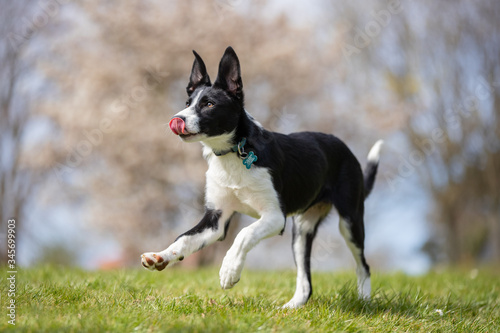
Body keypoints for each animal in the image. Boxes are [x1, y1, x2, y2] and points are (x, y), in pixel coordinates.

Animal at [141, 45, 382, 308]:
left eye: (209, 104)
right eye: (188, 102)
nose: (178, 120)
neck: (234, 153)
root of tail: (347, 150)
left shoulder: (275, 216)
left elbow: (244, 235)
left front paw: (229, 271)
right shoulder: (216, 219)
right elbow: (184, 239)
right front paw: (160, 256)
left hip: (349, 220)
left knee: (364, 265)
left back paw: (365, 300)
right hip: (302, 230)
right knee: (305, 281)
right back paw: (291, 308)